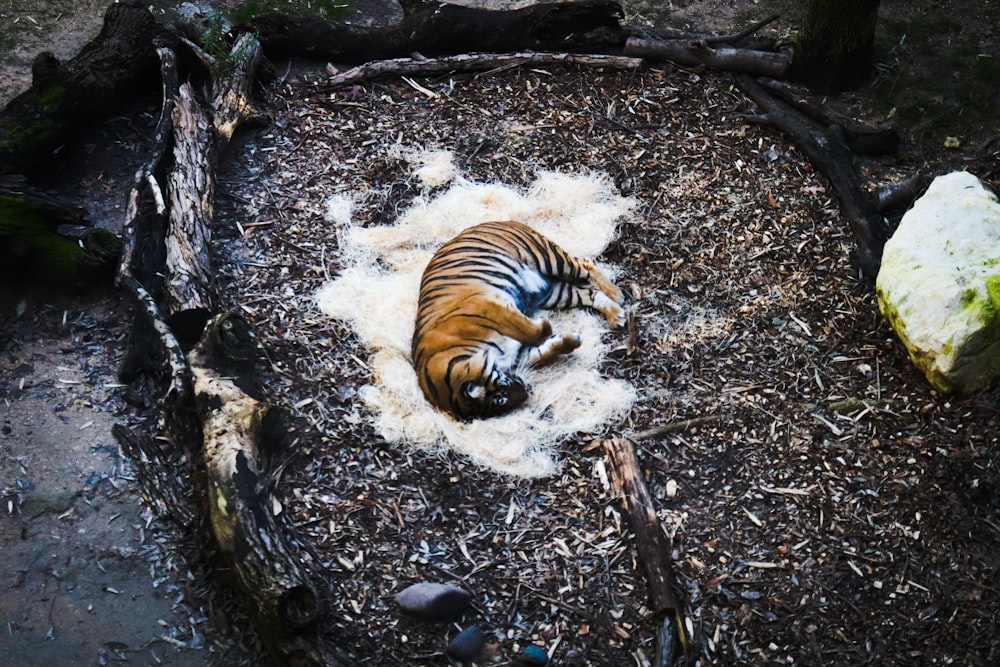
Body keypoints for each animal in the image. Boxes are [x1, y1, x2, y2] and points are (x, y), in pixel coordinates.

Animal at [410, 222, 620, 420]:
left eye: (502, 391)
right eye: (502, 402)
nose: (526, 392)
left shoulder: (486, 304)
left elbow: (535, 331)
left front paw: (545, 324)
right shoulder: (519, 356)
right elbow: (543, 351)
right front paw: (570, 341)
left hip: (547, 259)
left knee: (585, 263)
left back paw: (617, 294)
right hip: (554, 294)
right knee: (589, 293)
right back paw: (616, 315)